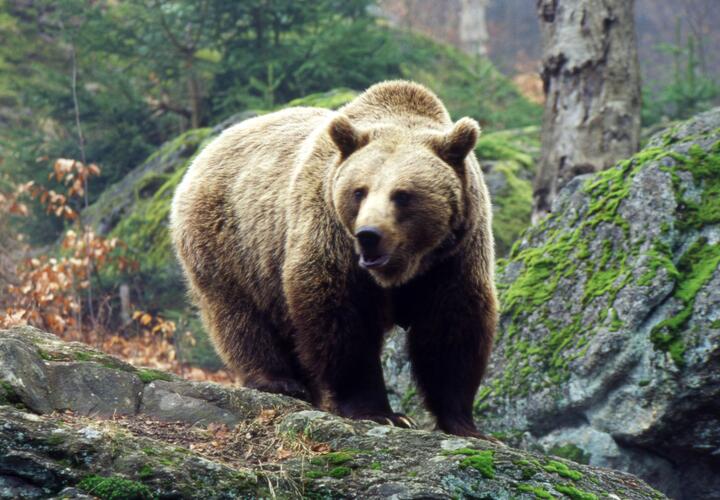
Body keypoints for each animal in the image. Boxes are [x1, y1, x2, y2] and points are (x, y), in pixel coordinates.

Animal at [170, 80, 497, 437]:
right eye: (359, 191)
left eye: (403, 195)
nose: (369, 234)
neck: (407, 265)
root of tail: (206, 150)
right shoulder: (331, 233)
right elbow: (342, 317)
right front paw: (380, 412)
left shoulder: (453, 255)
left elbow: (451, 327)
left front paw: (464, 423)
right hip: (233, 243)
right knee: (240, 316)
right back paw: (279, 381)